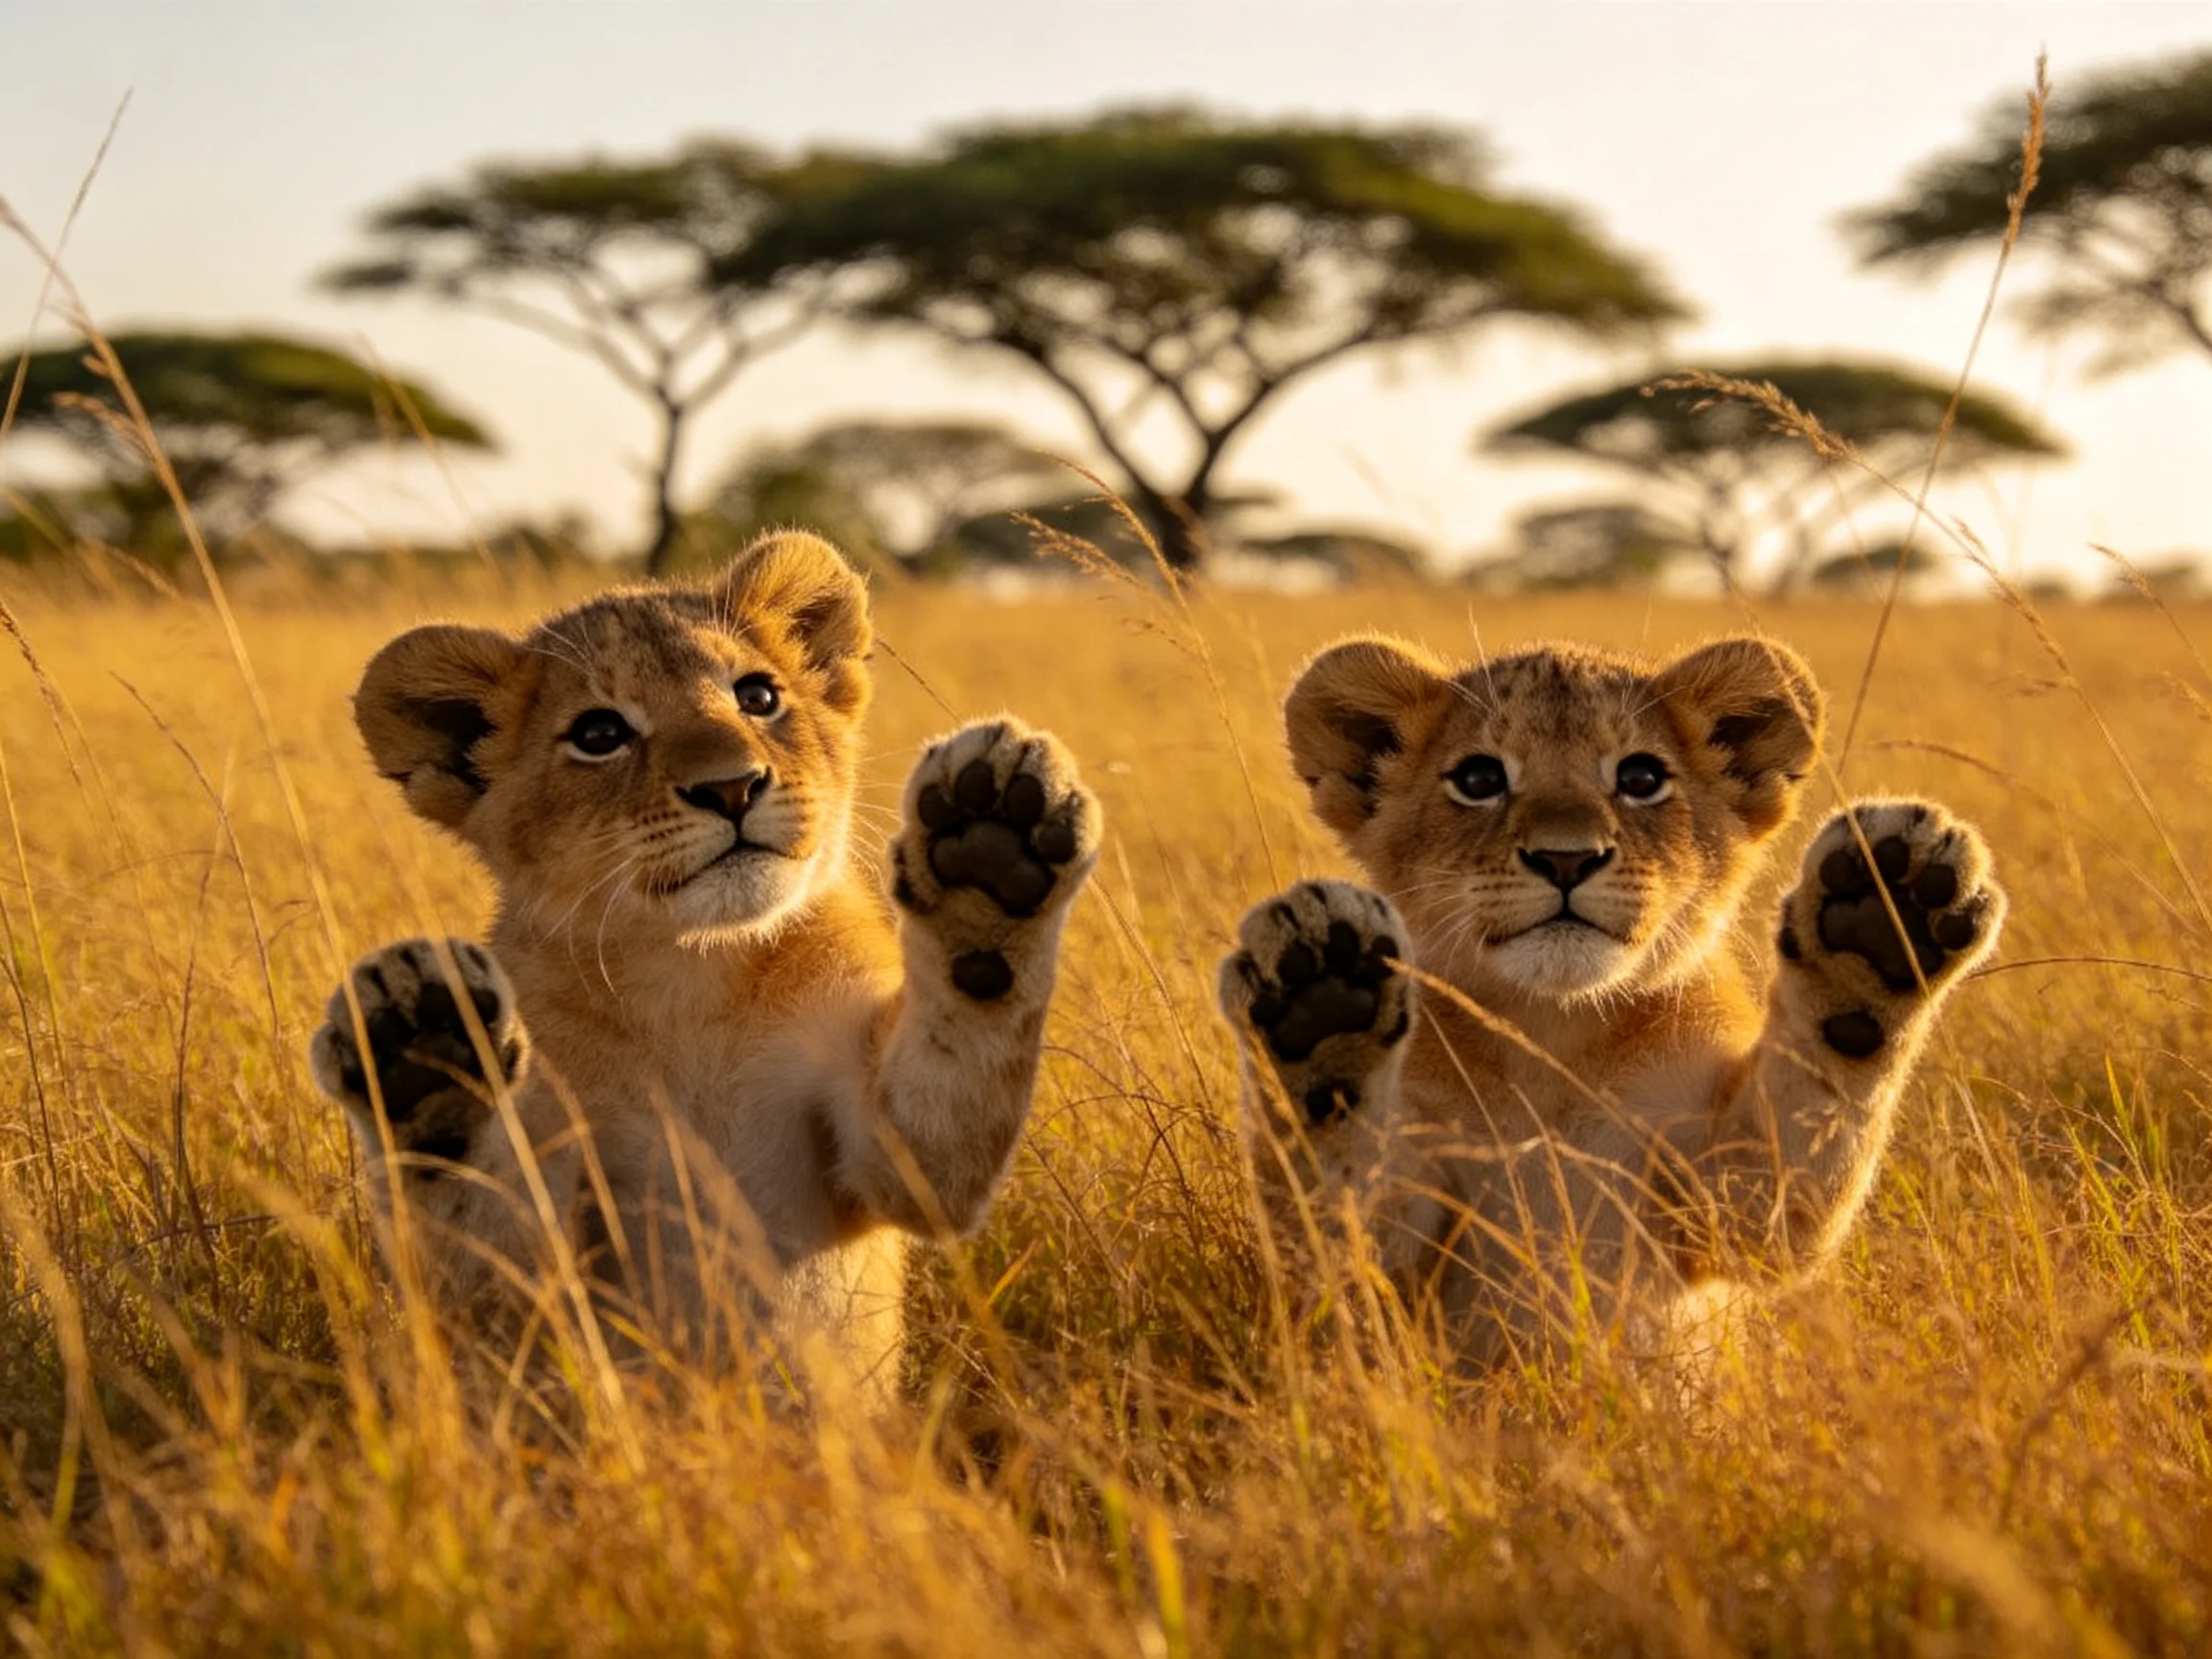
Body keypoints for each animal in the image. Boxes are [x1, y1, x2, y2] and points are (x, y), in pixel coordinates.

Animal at [309, 531, 1099, 1398]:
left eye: (757, 696)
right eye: (599, 735)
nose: (733, 787)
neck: (695, 978)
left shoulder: (884, 1153)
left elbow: (948, 1101)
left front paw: (989, 849)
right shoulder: (528, 1277)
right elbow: (484, 1257)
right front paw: (424, 1047)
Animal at [1217, 633, 2004, 1367]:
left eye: (1641, 777)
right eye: (1479, 778)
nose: (1566, 858)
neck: (1553, 1036)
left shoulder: (1718, 1199)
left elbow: (1802, 1144)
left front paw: (1881, 917)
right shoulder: (1401, 1243)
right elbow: (1336, 1234)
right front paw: (1319, 1004)